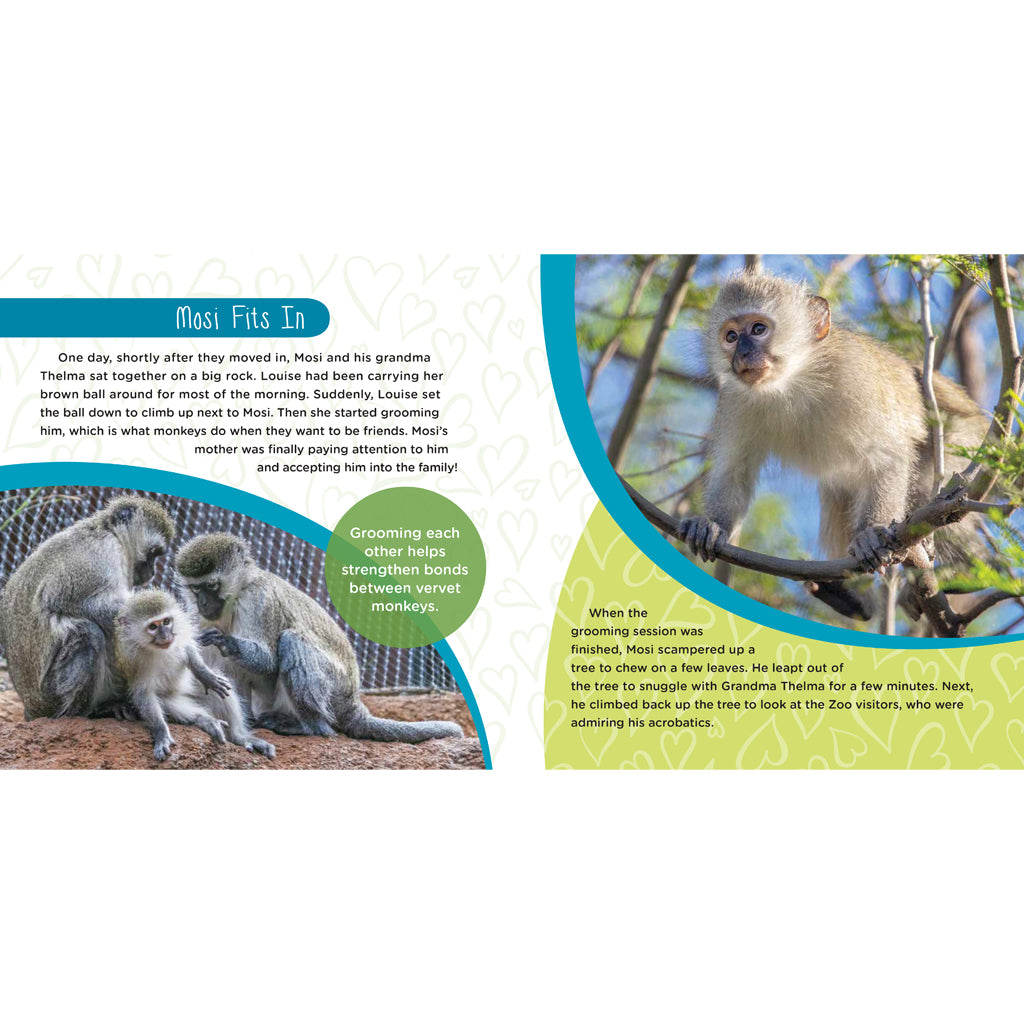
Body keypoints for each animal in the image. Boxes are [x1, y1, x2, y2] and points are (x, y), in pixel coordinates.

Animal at [0, 496, 177, 720]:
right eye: (153, 553)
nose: (152, 571)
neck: (109, 532)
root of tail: (31, 709)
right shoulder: (101, 556)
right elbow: (67, 602)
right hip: (52, 696)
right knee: (88, 633)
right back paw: (88, 711)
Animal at [114, 589, 276, 761]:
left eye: (166, 622)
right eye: (152, 626)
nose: (166, 636)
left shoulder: (180, 636)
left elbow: (188, 648)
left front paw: (205, 675)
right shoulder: (132, 659)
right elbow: (143, 695)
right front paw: (161, 733)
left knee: (218, 690)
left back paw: (238, 736)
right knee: (166, 701)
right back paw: (205, 719)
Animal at [175, 533, 465, 743]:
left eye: (212, 586)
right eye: (196, 589)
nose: (203, 603)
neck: (235, 598)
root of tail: (353, 703)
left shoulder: (259, 598)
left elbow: (266, 660)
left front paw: (225, 641)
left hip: (335, 691)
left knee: (291, 640)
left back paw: (311, 727)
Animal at [676, 271, 990, 619]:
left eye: (758, 329)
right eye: (731, 336)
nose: (742, 354)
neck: (795, 380)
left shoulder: (855, 376)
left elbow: (889, 456)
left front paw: (871, 534)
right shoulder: (736, 398)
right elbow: (734, 468)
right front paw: (712, 526)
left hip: (964, 441)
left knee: (933, 494)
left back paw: (964, 570)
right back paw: (853, 600)